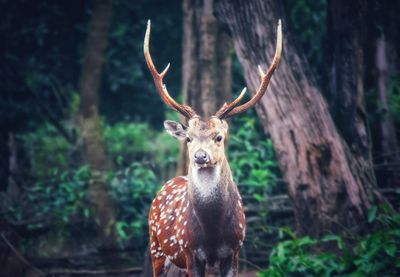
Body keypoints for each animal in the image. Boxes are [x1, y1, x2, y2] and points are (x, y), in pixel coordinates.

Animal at [144, 18, 282, 274]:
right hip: (156, 247)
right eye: (188, 138)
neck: (212, 233)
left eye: (219, 137)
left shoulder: (234, 250)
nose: (200, 156)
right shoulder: (189, 251)